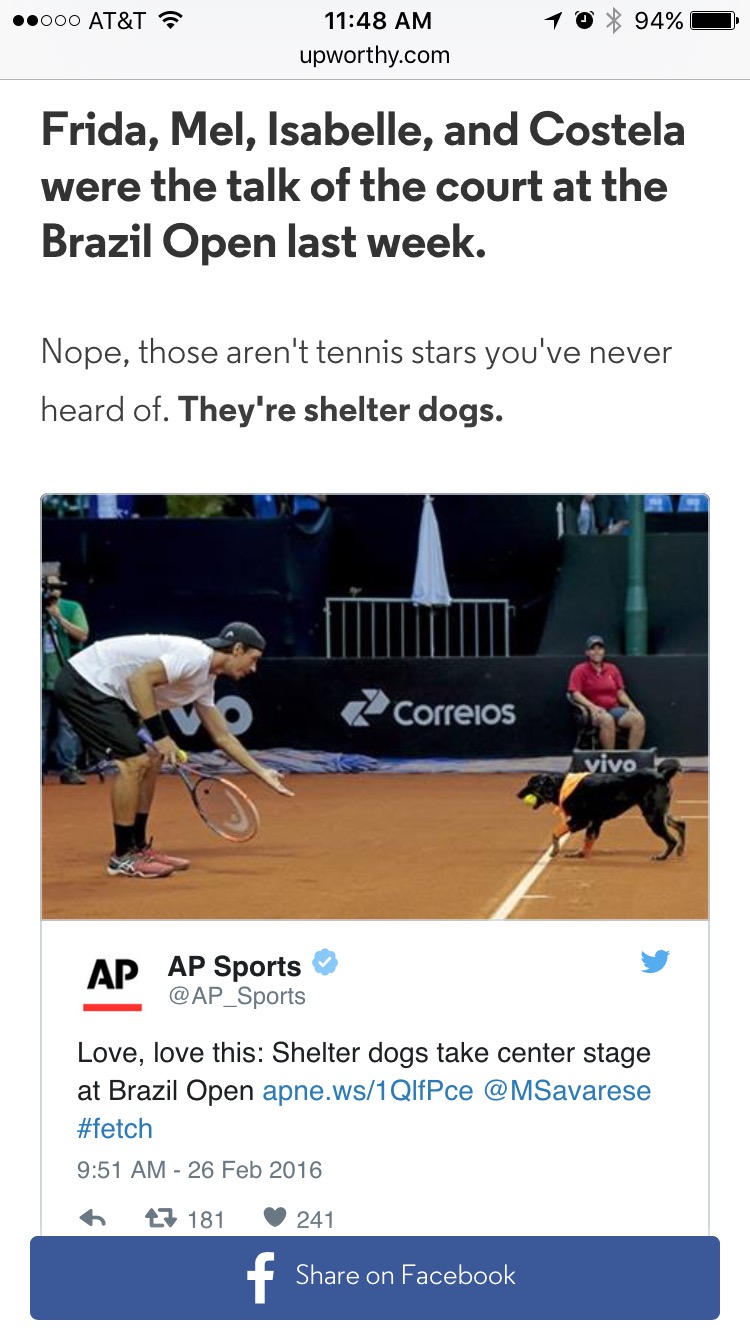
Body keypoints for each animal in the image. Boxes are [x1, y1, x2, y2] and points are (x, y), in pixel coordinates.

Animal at [512, 757, 683, 859]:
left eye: (531, 785)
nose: (517, 794)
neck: (560, 786)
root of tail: (663, 775)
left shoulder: (581, 819)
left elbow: (555, 833)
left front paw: (555, 851)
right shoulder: (594, 821)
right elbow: (589, 838)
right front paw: (581, 854)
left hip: (653, 816)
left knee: (671, 840)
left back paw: (663, 856)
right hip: (659, 813)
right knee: (681, 824)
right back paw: (680, 850)